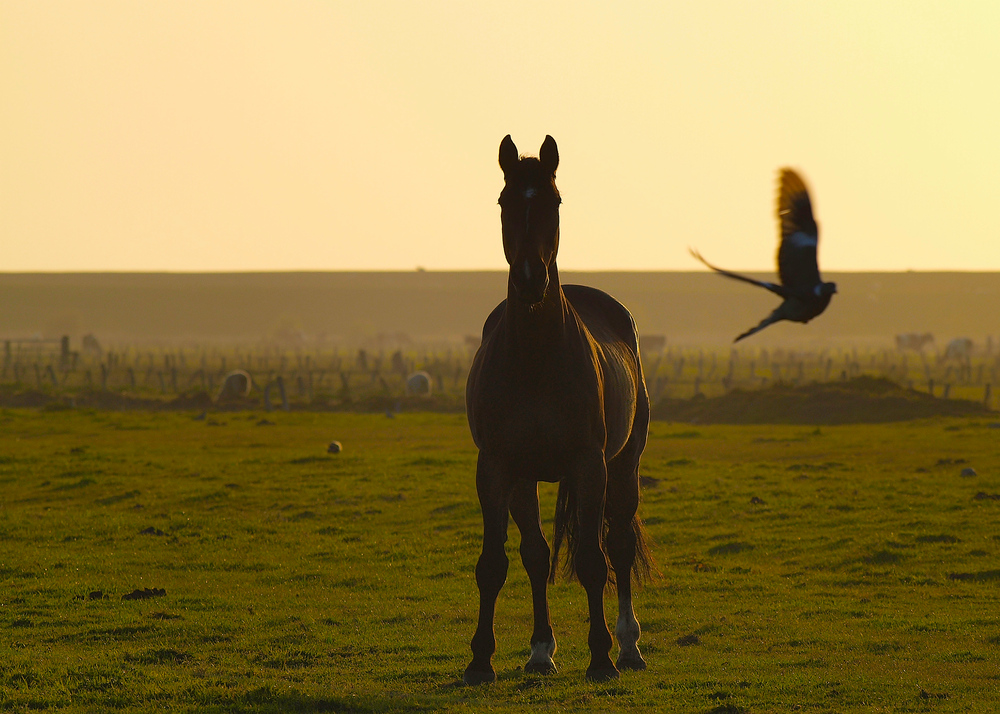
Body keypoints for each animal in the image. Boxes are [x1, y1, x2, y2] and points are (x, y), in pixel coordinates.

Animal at [462, 135, 652, 684]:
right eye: (505, 202)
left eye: (555, 201)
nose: (531, 280)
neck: (535, 358)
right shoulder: (497, 468)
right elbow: (496, 563)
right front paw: (480, 660)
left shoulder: (589, 466)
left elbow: (592, 560)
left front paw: (601, 658)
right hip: (527, 478)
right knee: (536, 554)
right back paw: (540, 652)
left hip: (624, 465)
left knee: (619, 546)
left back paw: (629, 647)